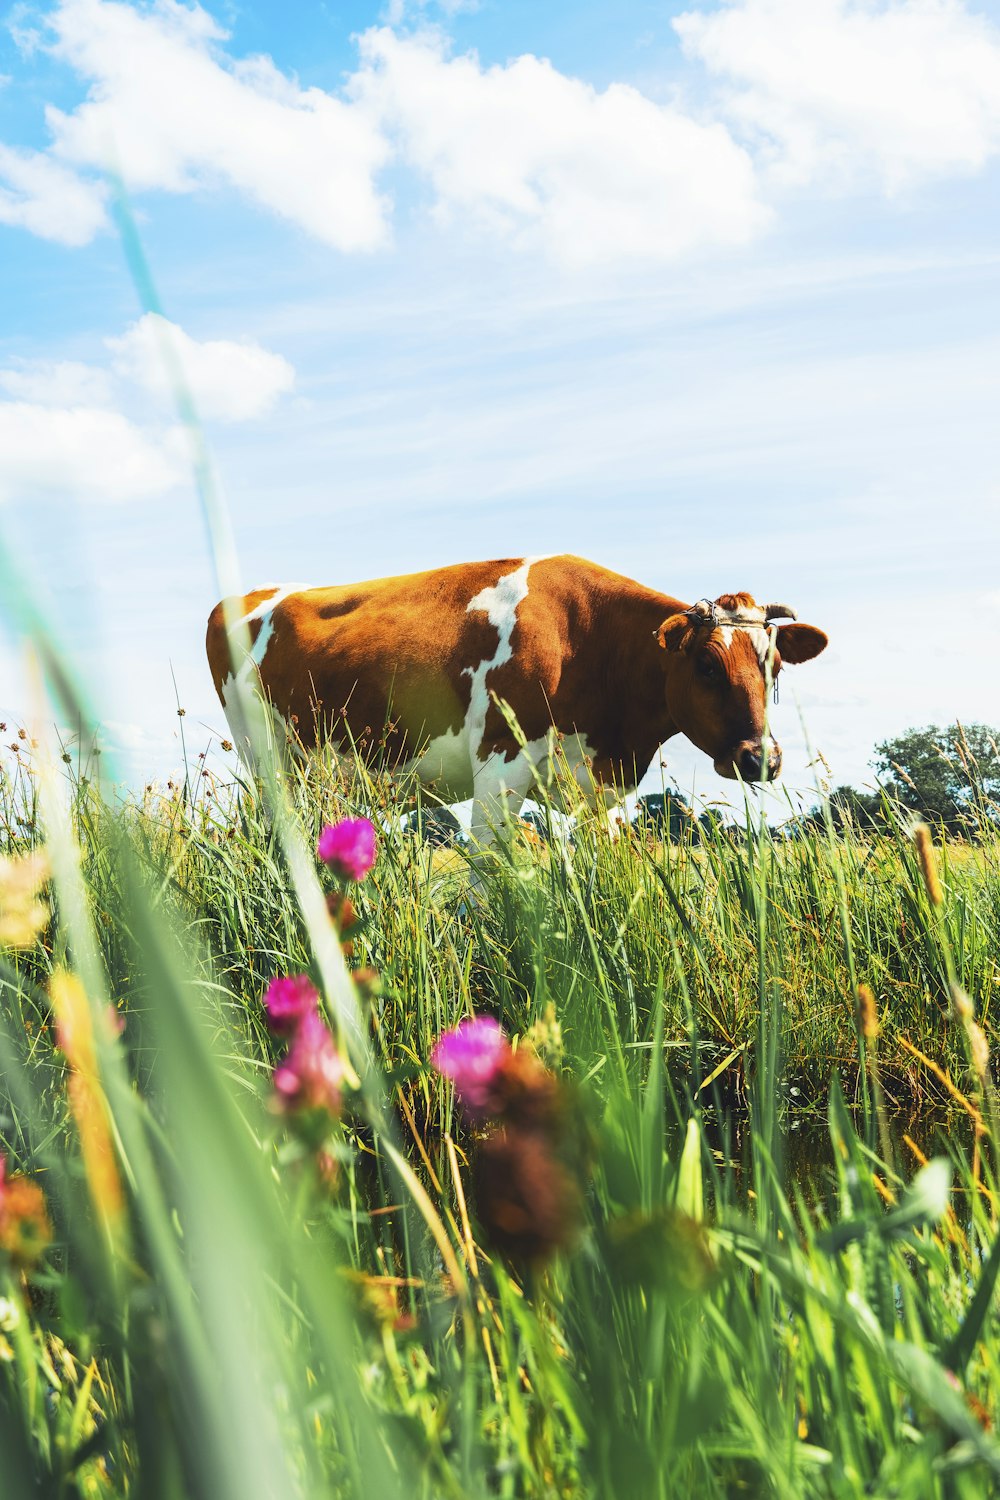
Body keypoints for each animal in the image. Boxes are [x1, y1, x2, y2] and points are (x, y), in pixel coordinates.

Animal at [205, 561, 827, 846]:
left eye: (773, 666)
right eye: (707, 665)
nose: (762, 758)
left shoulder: (603, 786)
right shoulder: (500, 765)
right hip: (269, 764)